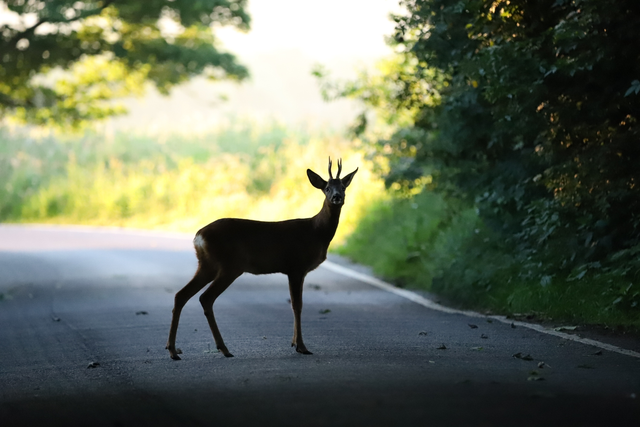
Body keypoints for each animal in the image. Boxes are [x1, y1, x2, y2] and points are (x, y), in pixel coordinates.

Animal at [166, 158, 358, 359]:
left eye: (343, 186)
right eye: (327, 188)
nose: (336, 197)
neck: (316, 232)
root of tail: (198, 236)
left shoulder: (297, 271)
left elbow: (295, 304)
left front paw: (294, 343)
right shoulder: (296, 266)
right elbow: (297, 305)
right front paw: (301, 346)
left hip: (207, 265)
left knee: (181, 295)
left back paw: (174, 350)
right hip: (230, 266)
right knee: (205, 297)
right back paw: (223, 349)